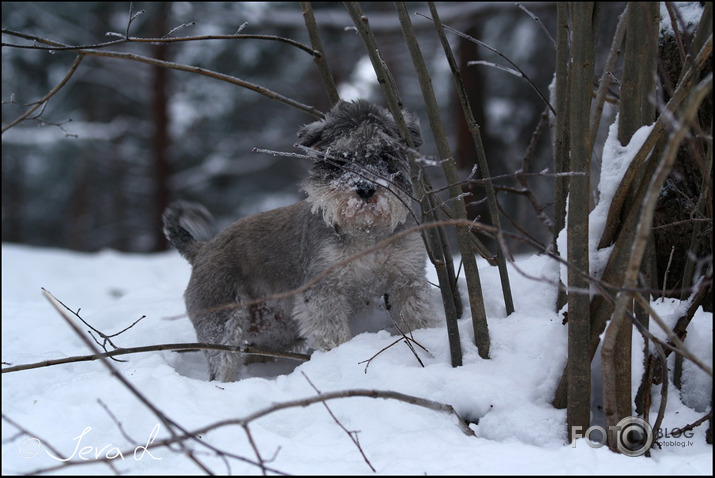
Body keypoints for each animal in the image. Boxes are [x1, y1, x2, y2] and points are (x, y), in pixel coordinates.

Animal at [164, 100, 440, 380]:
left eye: (385, 154)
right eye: (339, 158)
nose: (365, 189)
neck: (366, 232)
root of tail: (202, 249)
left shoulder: (407, 278)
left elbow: (417, 316)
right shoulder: (323, 290)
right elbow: (331, 335)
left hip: (274, 331)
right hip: (223, 327)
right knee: (222, 365)